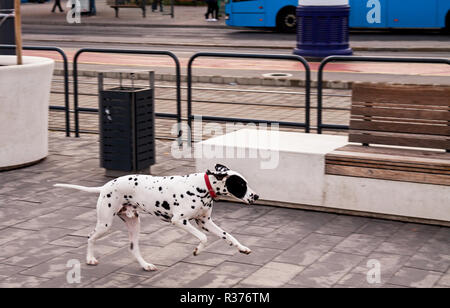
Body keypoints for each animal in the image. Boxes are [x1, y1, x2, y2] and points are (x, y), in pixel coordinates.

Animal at [53, 165, 258, 270]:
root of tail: (105, 186)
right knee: (90, 237)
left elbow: (228, 236)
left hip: (134, 224)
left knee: (133, 248)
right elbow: (204, 238)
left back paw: (146, 265)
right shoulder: (180, 221)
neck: (200, 187)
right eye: (241, 184)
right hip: (105, 224)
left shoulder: (205, 222)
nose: (256, 196)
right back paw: (90, 259)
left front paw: (242, 248)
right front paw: (197, 251)